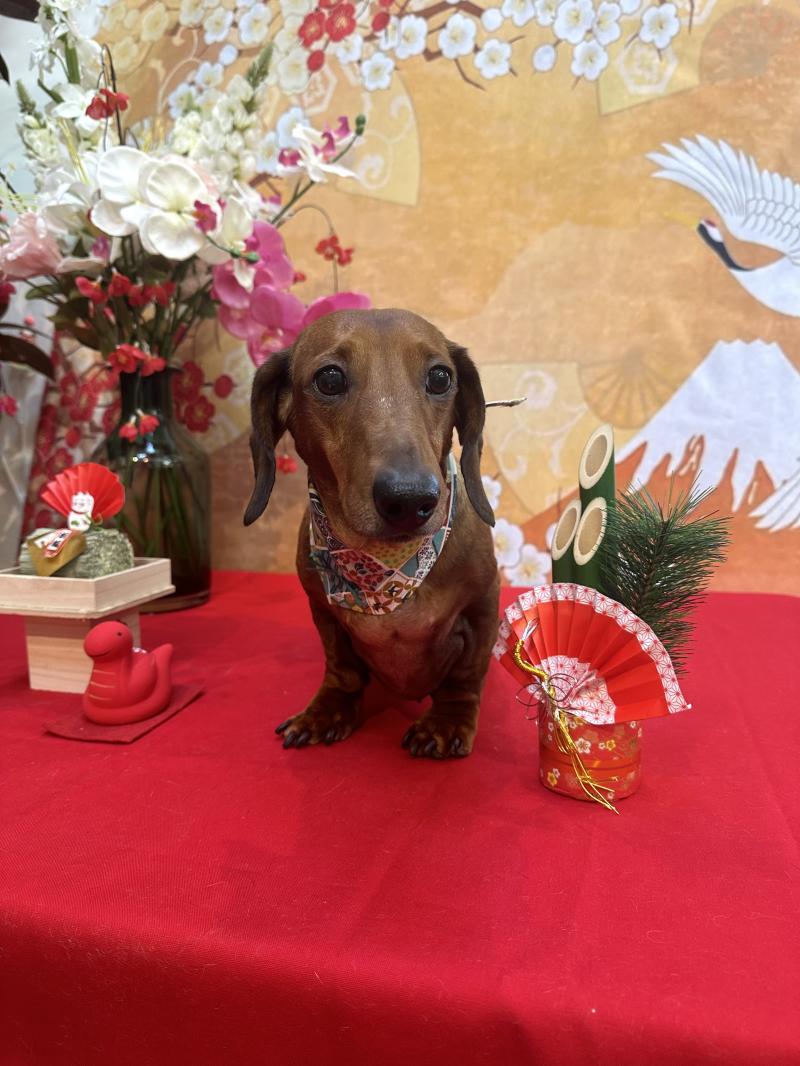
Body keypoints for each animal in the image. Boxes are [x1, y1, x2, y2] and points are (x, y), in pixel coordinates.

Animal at [244, 308, 500, 758]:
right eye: (329, 379)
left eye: (440, 378)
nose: (410, 500)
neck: (388, 566)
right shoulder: (324, 613)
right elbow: (341, 669)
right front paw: (327, 710)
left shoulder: (483, 605)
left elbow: (465, 677)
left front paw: (447, 722)